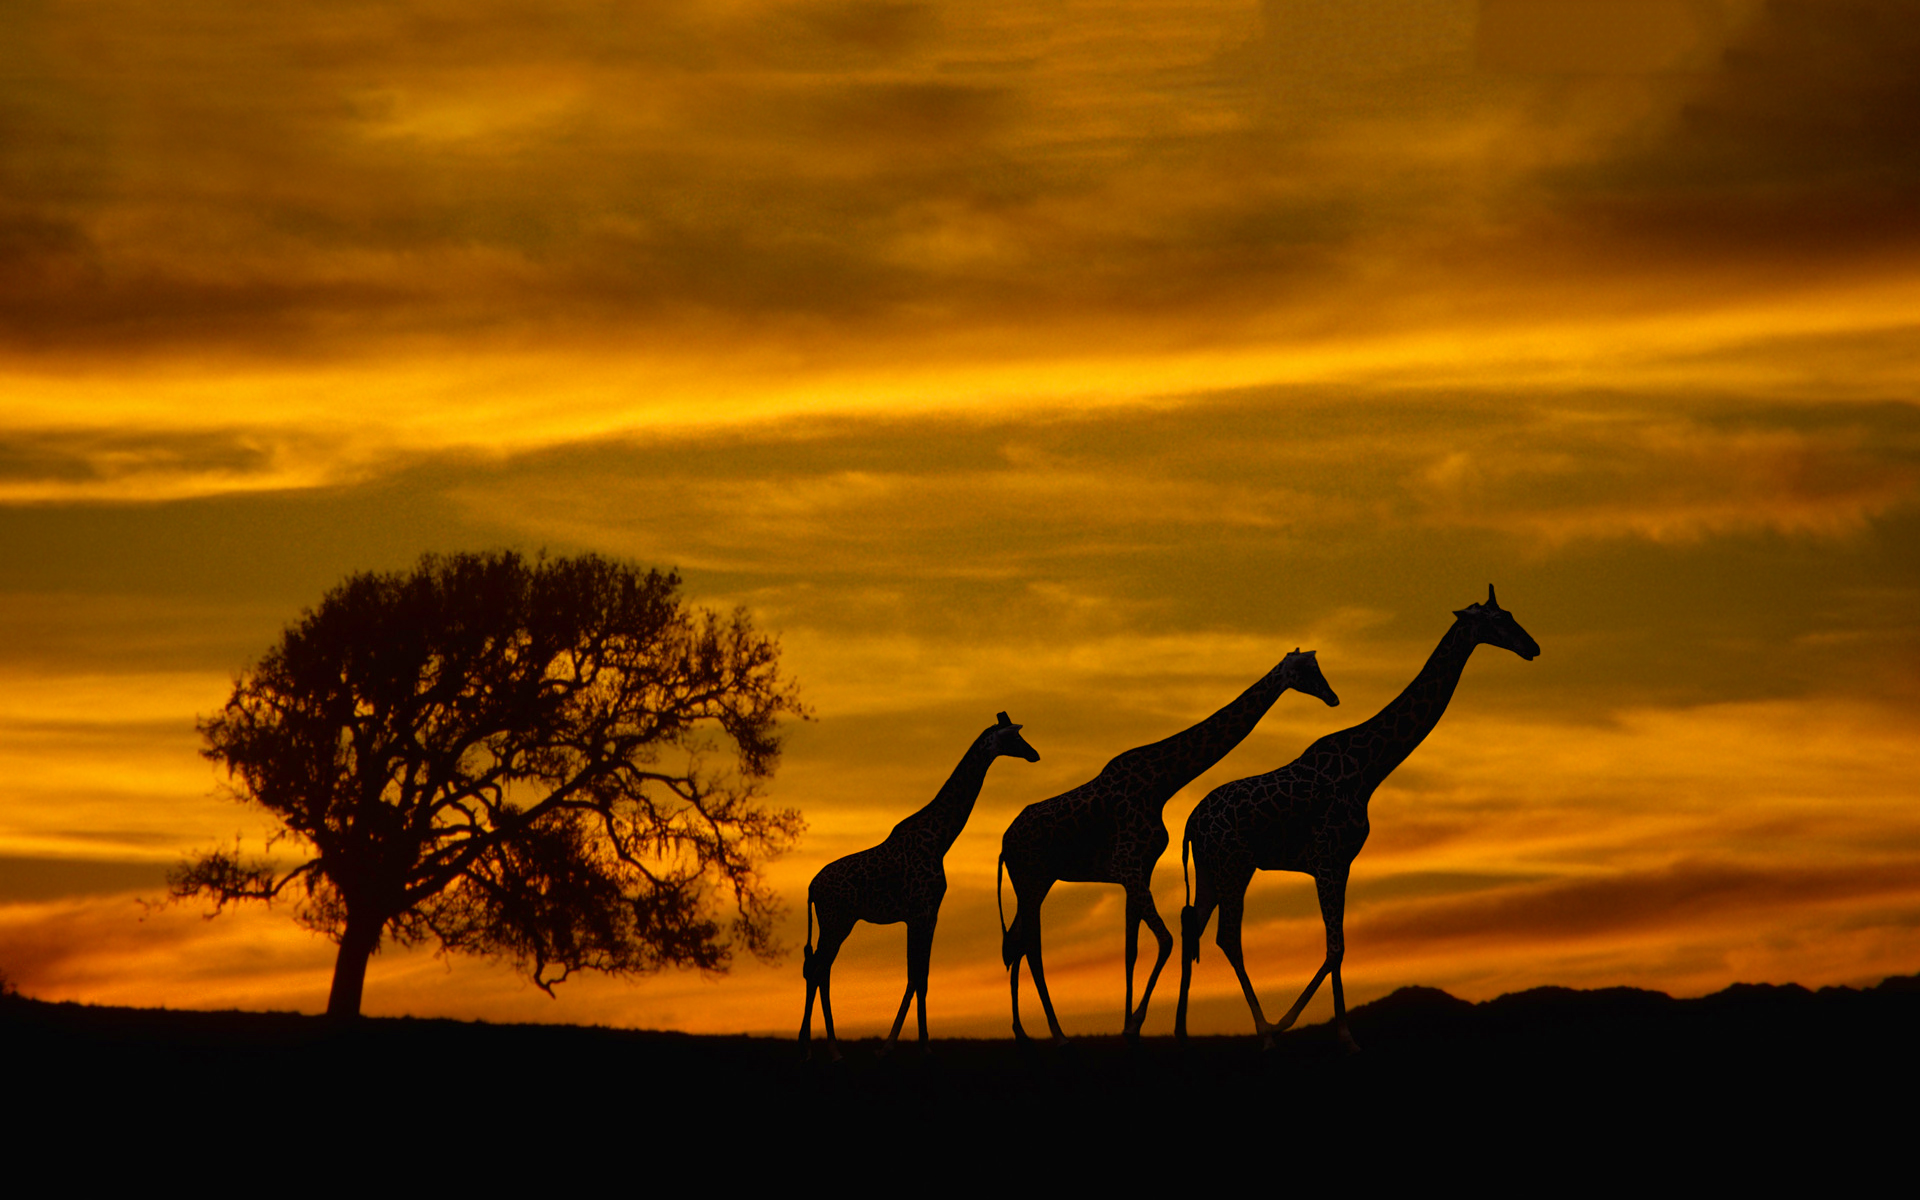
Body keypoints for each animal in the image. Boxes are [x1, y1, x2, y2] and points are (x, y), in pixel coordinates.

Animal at [799, 712, 1039, 1060]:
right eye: (1014, 737)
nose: (1034, 754)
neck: (940, 840)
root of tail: (811, 888)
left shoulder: (927, 915)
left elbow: (920, 976)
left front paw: (913, 1043)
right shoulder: (921, 913)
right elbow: (917, 977)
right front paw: (906, 1045)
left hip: (836, 923)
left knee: (819, 970)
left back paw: (820, 1047)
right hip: (836, 921)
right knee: (818, 970)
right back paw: (823, 1048)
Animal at [997, 649, 1339, 1044]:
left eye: (1318, 667)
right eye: (1305, 670)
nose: (1332, 697)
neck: (1161, 784)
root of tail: (1004, 844)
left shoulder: (1137, 870)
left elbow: (1131, 949)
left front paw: (1127, 1025)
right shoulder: (1129, 866)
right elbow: (1165, 941)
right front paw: (1134, 1023)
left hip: (1036, 883)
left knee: (1016, 942)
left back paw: (1022, 1031)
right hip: (1031, 880)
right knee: (1029, 946)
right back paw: (1054, 1032)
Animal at [1174, 587, 1539, 1049]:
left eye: (1508, 613)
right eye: (1496, 621)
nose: (1532, 647)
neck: (1368, 770)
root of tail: (1191, 823)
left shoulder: (1343, 862)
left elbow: (1340, 946)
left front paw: (1339, 1032)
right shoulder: (1327, 859)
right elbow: (1336, 947)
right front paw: (1328, 1032)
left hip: (1211, 868)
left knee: (1193, 928)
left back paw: (1182, 1034)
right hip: (1234, 864)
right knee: (1226, 936)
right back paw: (1265, 1032)